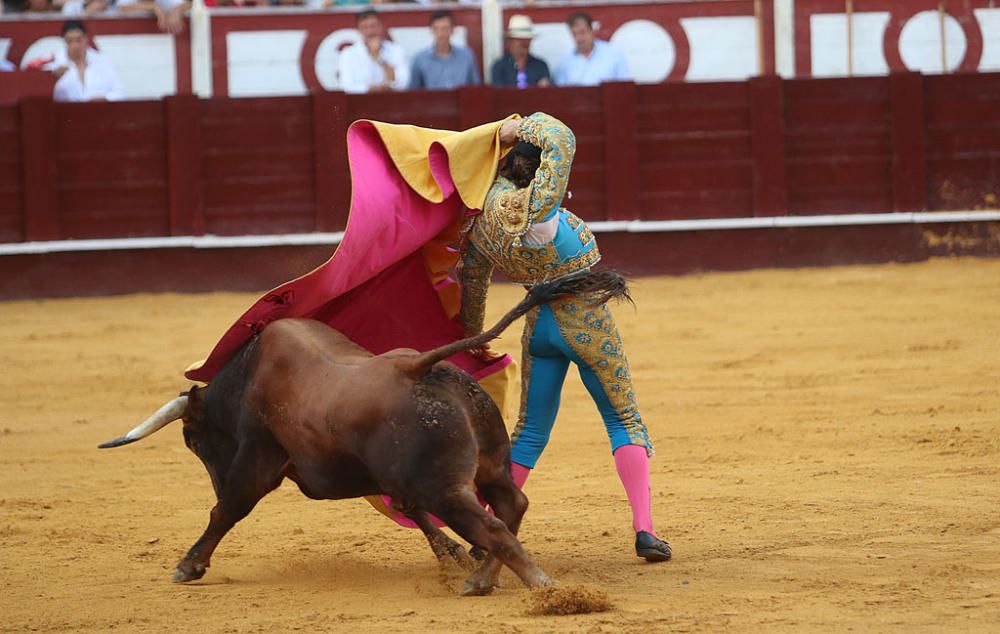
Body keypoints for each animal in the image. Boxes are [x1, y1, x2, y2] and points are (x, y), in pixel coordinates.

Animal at [101, 270, 628, 596]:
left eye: (193, 442)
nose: (210, 475)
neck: (248, 377)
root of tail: (418, 366)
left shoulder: (257, 458)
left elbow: (226, 509)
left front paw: (189, 565)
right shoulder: (397, 479)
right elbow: (412, 512)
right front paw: (452, 555)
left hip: (445, 486)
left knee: (494, 525)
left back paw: (538, 585)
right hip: (488, 466)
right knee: (510, 506)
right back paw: (482, 577)